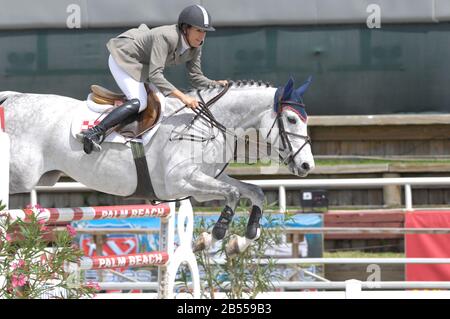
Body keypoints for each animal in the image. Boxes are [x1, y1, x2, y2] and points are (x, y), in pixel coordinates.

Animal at [0, 77, 314, 255]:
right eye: (292, 119)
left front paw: (242, 241)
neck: (208, 123)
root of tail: (13, 98)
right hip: (22, 174)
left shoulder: (203, 183)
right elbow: (235, 194)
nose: (307, 165)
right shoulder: (181, 180)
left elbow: (253, 192)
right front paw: (212, 238)